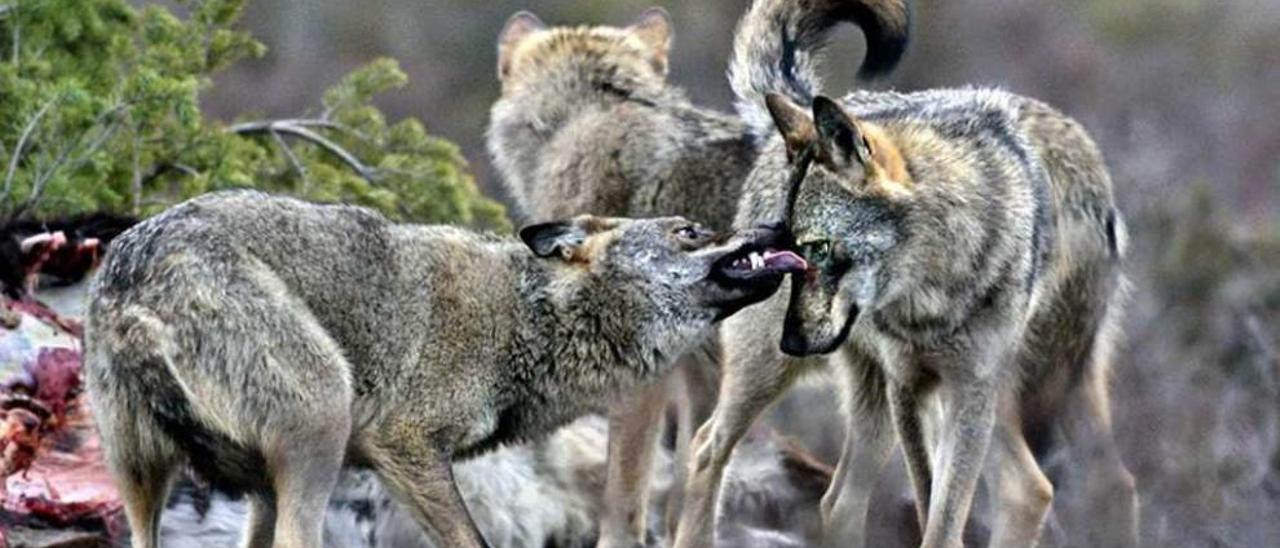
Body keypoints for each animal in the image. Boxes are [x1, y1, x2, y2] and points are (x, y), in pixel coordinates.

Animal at [82, 190, 808, 545]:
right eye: (690, 232)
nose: (782, 226)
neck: (524, 316)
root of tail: (131, 280)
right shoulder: (404, 446)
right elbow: (471, 541)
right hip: (320, 428)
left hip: (155, 480)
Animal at [675, 1, 1136, 548]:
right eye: (788, 254)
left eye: (818, 248)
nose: (793, 341)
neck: (936, 291)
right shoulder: (909, 387)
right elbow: (929, 506)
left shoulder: (969, 389)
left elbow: (943, 523)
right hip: (780, 380)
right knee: (710, 446)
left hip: (1030, 391)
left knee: (1071, 486)